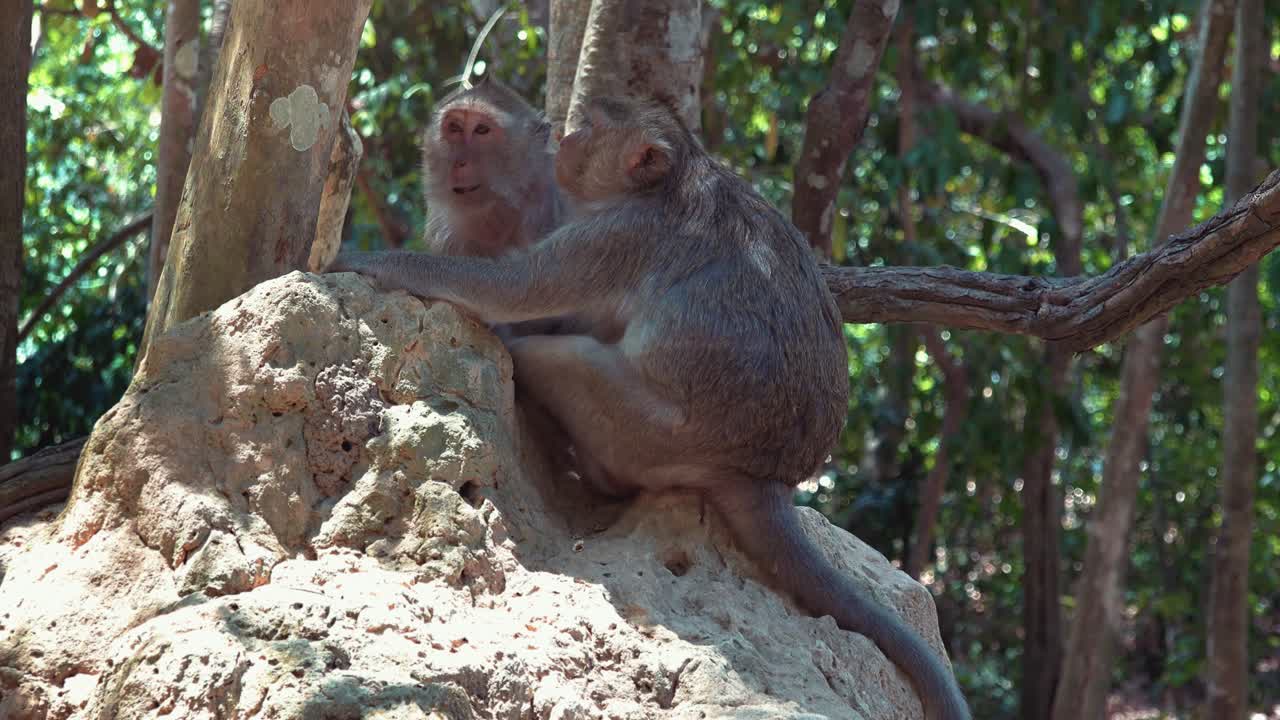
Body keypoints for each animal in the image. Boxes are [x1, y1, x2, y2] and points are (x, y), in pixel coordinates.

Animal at [327, 96, 971, 720]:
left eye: (593, 126)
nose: (567, 139)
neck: (672, 180)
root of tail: (766, 475)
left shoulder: (615, 235)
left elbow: (514, 288)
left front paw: (367, 260)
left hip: (649, 429)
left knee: (560, 359)